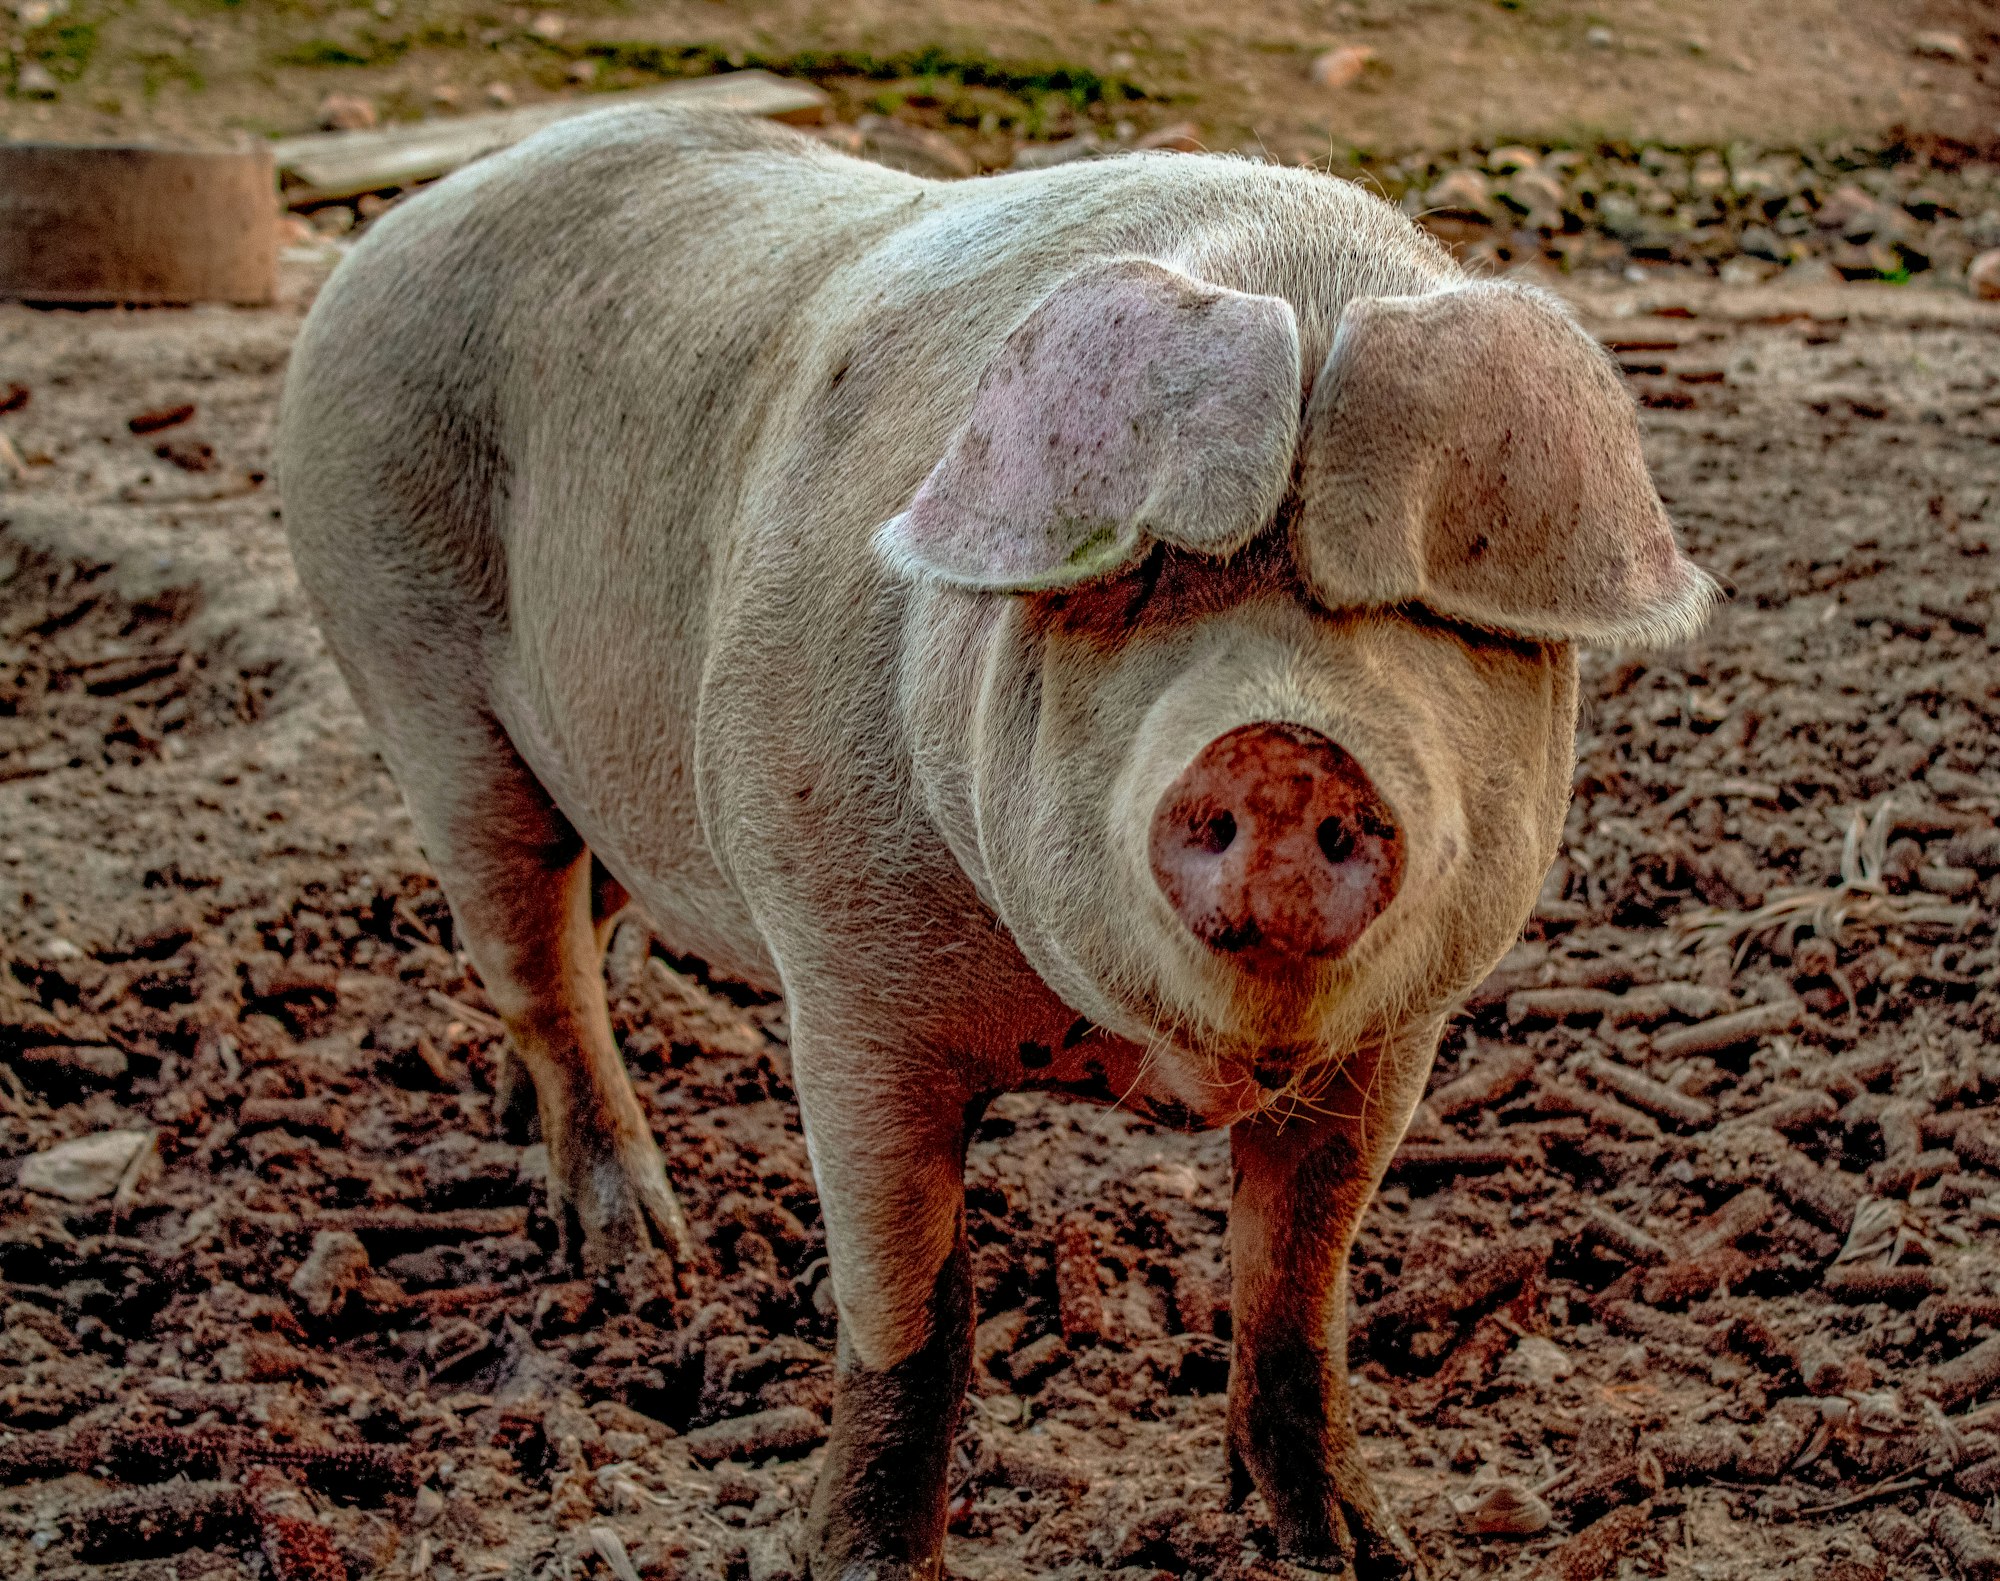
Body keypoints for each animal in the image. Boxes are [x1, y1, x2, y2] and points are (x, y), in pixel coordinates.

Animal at [278, 107, 1713, 1579]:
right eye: (1140, 575)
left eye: (1424, 612)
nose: (1282, 744)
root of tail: (396, 228)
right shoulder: (848, 985)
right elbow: (915, 1318)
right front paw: (858, 1563)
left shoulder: (1402, 1034)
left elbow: (1297, 1295)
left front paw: (1366, 1555)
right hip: (412, 671)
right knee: (530, 952)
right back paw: (642, 1264)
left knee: (583, 923)